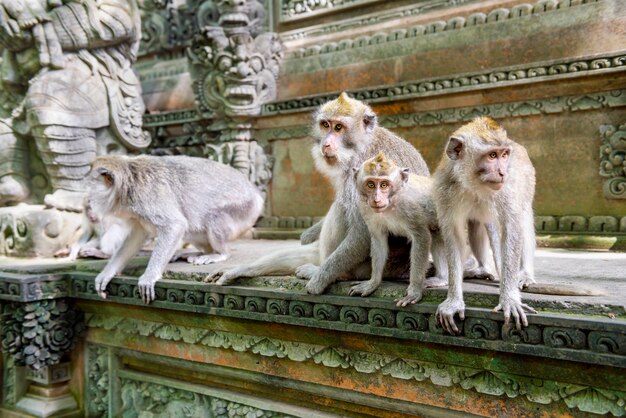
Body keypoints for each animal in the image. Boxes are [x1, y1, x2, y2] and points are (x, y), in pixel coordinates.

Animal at [85, 155, 260, 302]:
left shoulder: (146, 198)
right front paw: (108, 272)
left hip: (244, 208)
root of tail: (256, 194)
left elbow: (174, 225)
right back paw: (199, 252)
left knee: (211, 217)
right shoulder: (138, 213)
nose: (88, 202)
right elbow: (137, 236)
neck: (128, 184)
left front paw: (150, 275)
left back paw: (220, 253)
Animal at [206, 91, 428, 288]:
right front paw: (308, 234)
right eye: (325, 125)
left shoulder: (360, 167)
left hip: (371, 267)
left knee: (342, 209)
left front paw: (319, 281)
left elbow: (364, 232)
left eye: (339, 127)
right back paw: (242, 269)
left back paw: (333, 274)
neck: (361, 144)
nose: (326, 143)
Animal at [352, 152, 448, 306]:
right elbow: (378, 239)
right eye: (371, 184)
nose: (376, 199)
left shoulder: (409, 207)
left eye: (384, 185)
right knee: (436, 235)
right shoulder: (365, 208)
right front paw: (373, 283)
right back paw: (442, 278)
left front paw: (414, 291)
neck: (391, 202)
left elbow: (421, 237)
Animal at [432, 117, 532, 334]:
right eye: (492, 155)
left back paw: (523, 275)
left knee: (524, 220)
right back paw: (484, 269)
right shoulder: (444, 190)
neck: (473, 184)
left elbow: (512, 227)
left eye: (504, 154)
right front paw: (453, 301)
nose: (502, 172)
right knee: (478, 224)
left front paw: (509, 297)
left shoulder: (507, 188)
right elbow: (454, 236)